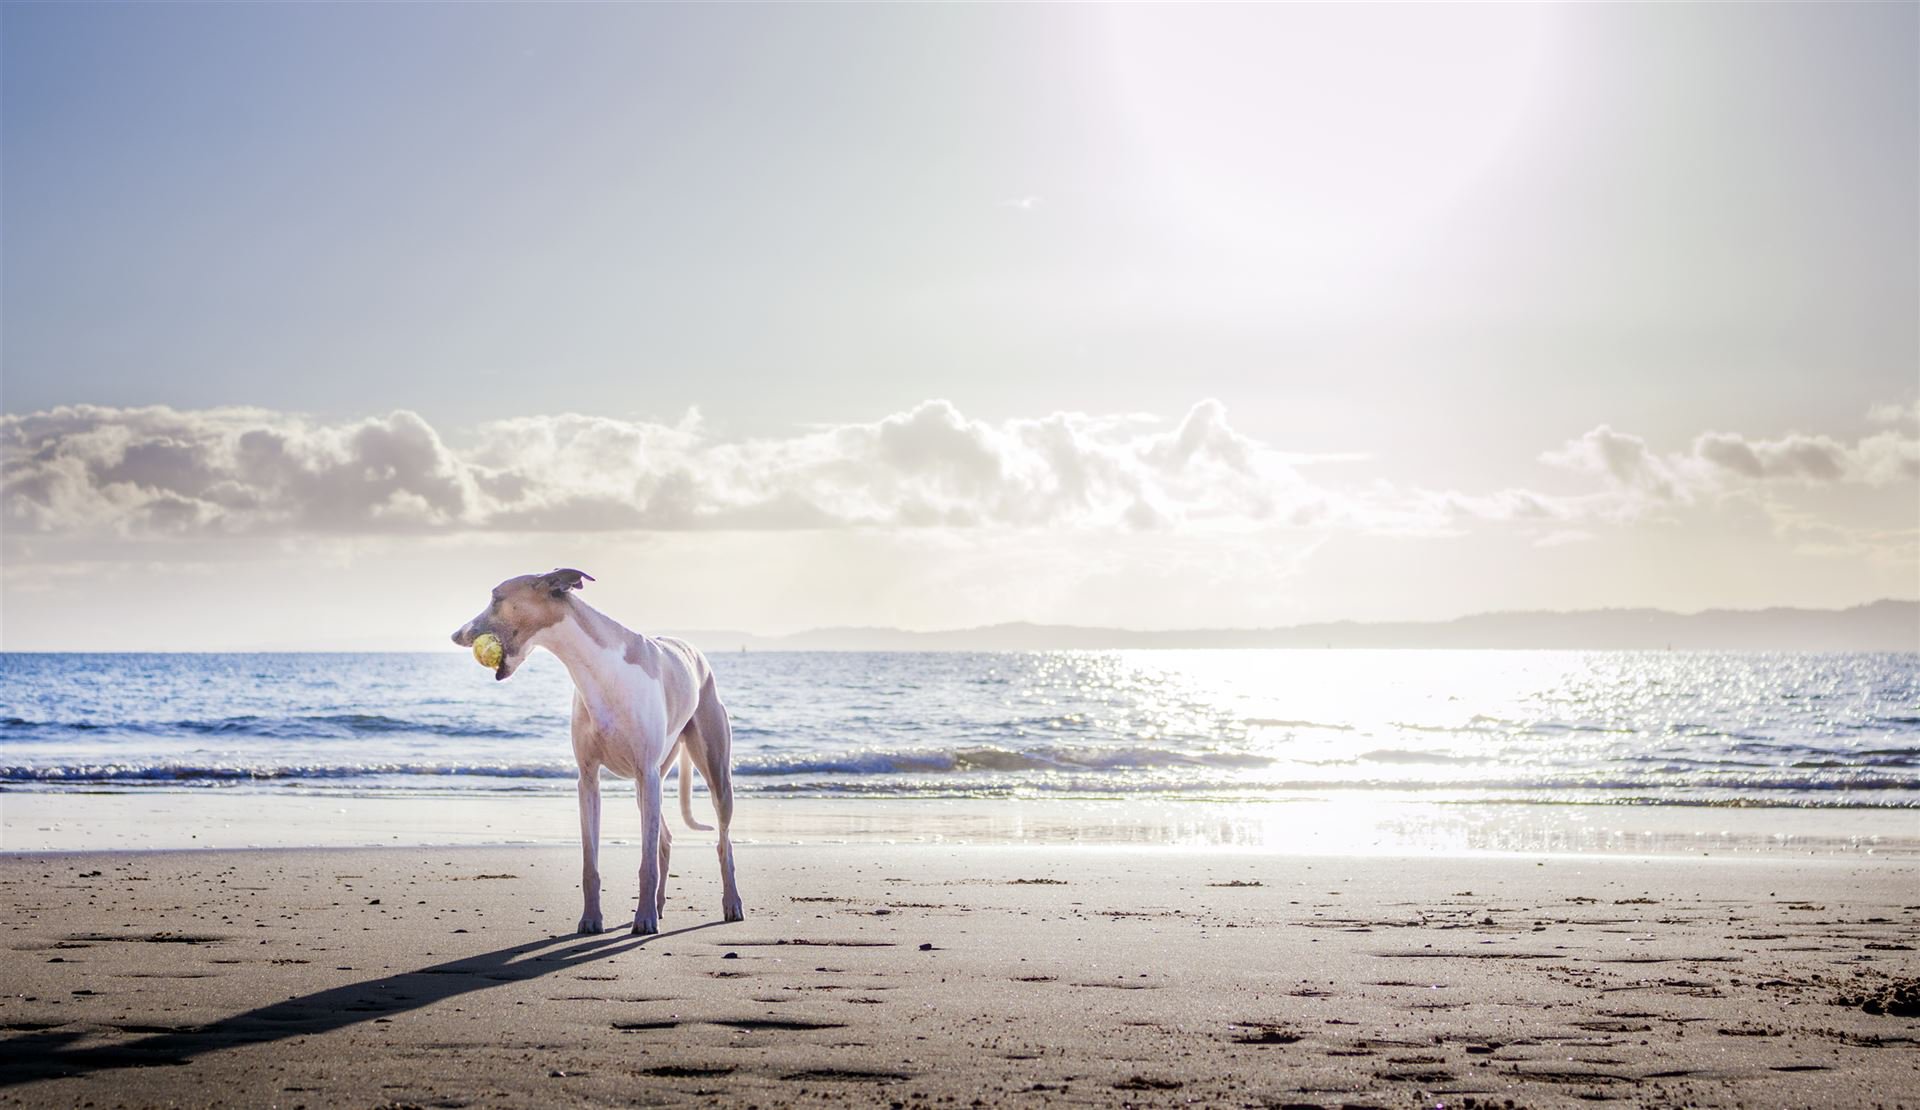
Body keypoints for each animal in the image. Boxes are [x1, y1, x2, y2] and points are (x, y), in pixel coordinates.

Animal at [449, 560, 741, 933]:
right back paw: (660, 904)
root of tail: (695, 653)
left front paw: (643, 919)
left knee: (722, 842)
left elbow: (646, 862)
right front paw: (591, 919)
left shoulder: (645, 772)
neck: (597, 669)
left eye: (496, 598)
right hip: (648, 786)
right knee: (664, 839)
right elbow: (591, 863)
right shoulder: (588, 779)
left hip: (710, 771)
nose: (456, 635)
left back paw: (730, 903)